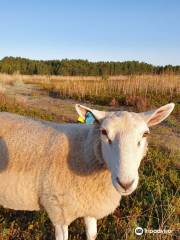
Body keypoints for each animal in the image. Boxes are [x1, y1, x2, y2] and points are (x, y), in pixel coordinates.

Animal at [0, 102, 175, 239]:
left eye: (145, 134)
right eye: (104, 132)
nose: (125, 183)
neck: (84, 150)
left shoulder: (90, 205)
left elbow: (92, 234)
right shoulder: (59, 211)